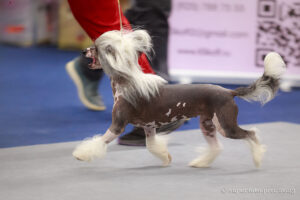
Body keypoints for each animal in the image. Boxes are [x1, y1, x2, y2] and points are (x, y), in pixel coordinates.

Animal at [72, 28, 286, 168]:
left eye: (95, 48)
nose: (82, 51)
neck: (127, 82)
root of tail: (228, 92)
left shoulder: (117, 125)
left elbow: (99, 141)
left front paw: (81, 154)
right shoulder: (149, 127)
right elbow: (152, 146)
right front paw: (166, 158)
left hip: (226, 125)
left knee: (251, 134)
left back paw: (257, 158)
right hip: (209, 124)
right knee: (217, 147)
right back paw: (201, 163)